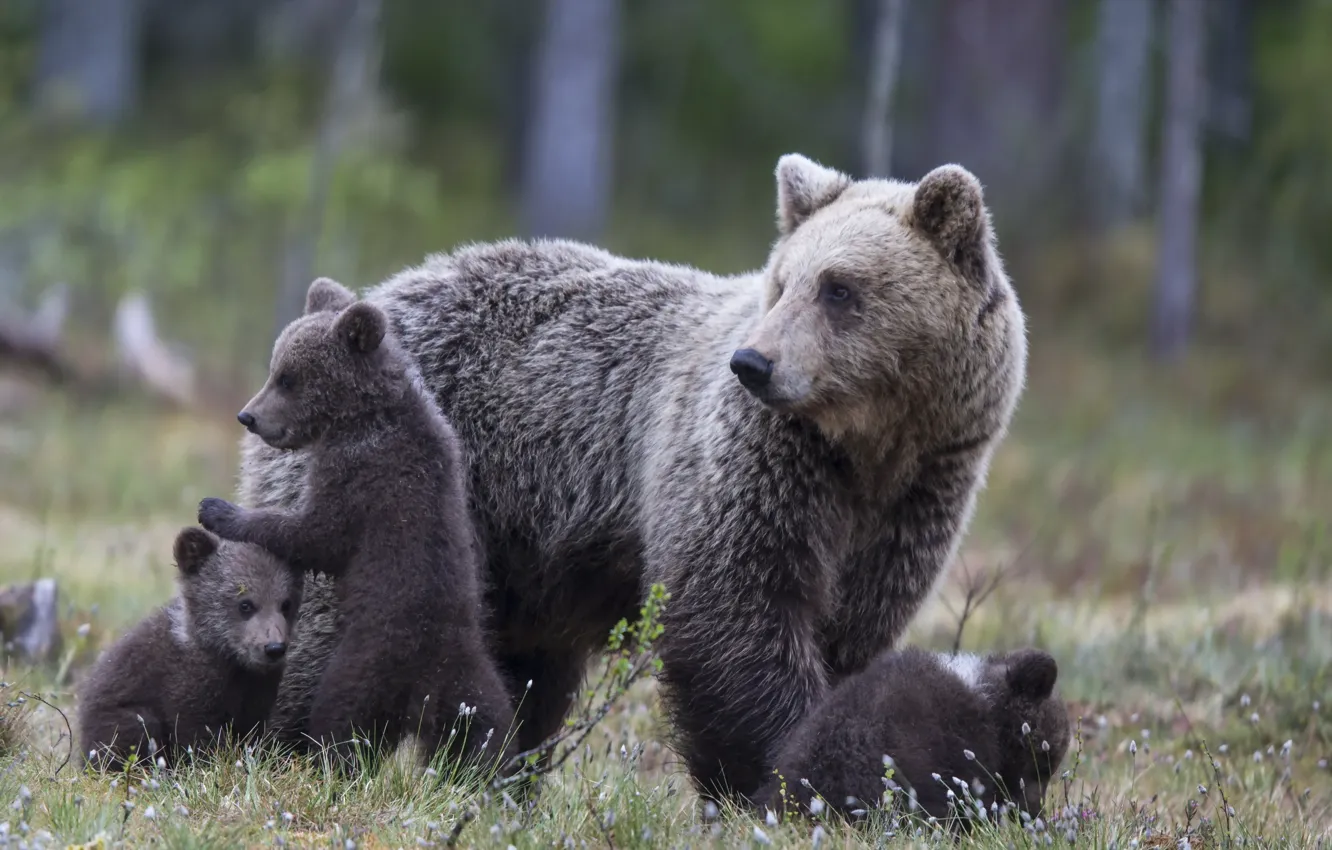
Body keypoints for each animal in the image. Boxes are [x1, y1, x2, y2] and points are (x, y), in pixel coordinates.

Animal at [76, 526, 301, 771]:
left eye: (286, 604)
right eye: (245, 604)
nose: (274, 648)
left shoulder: (258, 690)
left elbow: (252, 730)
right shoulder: (184, 687)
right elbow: (197, 736)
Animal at [197, 278, 517, 776]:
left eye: (287, 377)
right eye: (275, 368)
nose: (247, 416)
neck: (362, 416)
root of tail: (425, 687)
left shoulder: (362, 478)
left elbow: (315, 534)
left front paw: (218, 510)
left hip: (366, 662)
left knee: (340, 716)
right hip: (475, 681)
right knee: (490, 730)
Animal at [237, 152, 1028, 802]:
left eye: (839, 287)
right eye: (783, 282)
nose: (754, 363)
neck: (865, 447)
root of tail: (367, 295)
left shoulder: (912, 500)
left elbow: (848, 633)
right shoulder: (752, 470)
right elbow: (736, 613)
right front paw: (779, 773)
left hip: (519, 560)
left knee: (523, 676)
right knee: (326, 618)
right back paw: (284, 750)